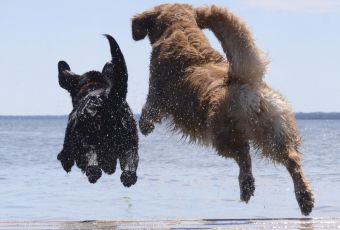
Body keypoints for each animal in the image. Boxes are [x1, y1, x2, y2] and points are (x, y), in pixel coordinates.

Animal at [57, 34, 138, 187]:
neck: (93, 87)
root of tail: (109, 99)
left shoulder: (68, 144)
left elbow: (66, 156)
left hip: (88, 138)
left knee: (93, 163)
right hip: (129, 142)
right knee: (129, 170)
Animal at [131, 4, 314, 216]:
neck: (180, 28)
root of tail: (244, 81)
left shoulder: (156, 93)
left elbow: (148, 110)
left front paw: (145, 126)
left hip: (222, 135)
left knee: (244, 155)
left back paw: (247, 186)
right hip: (275, 131)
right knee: (292, 160)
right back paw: (305, 198)